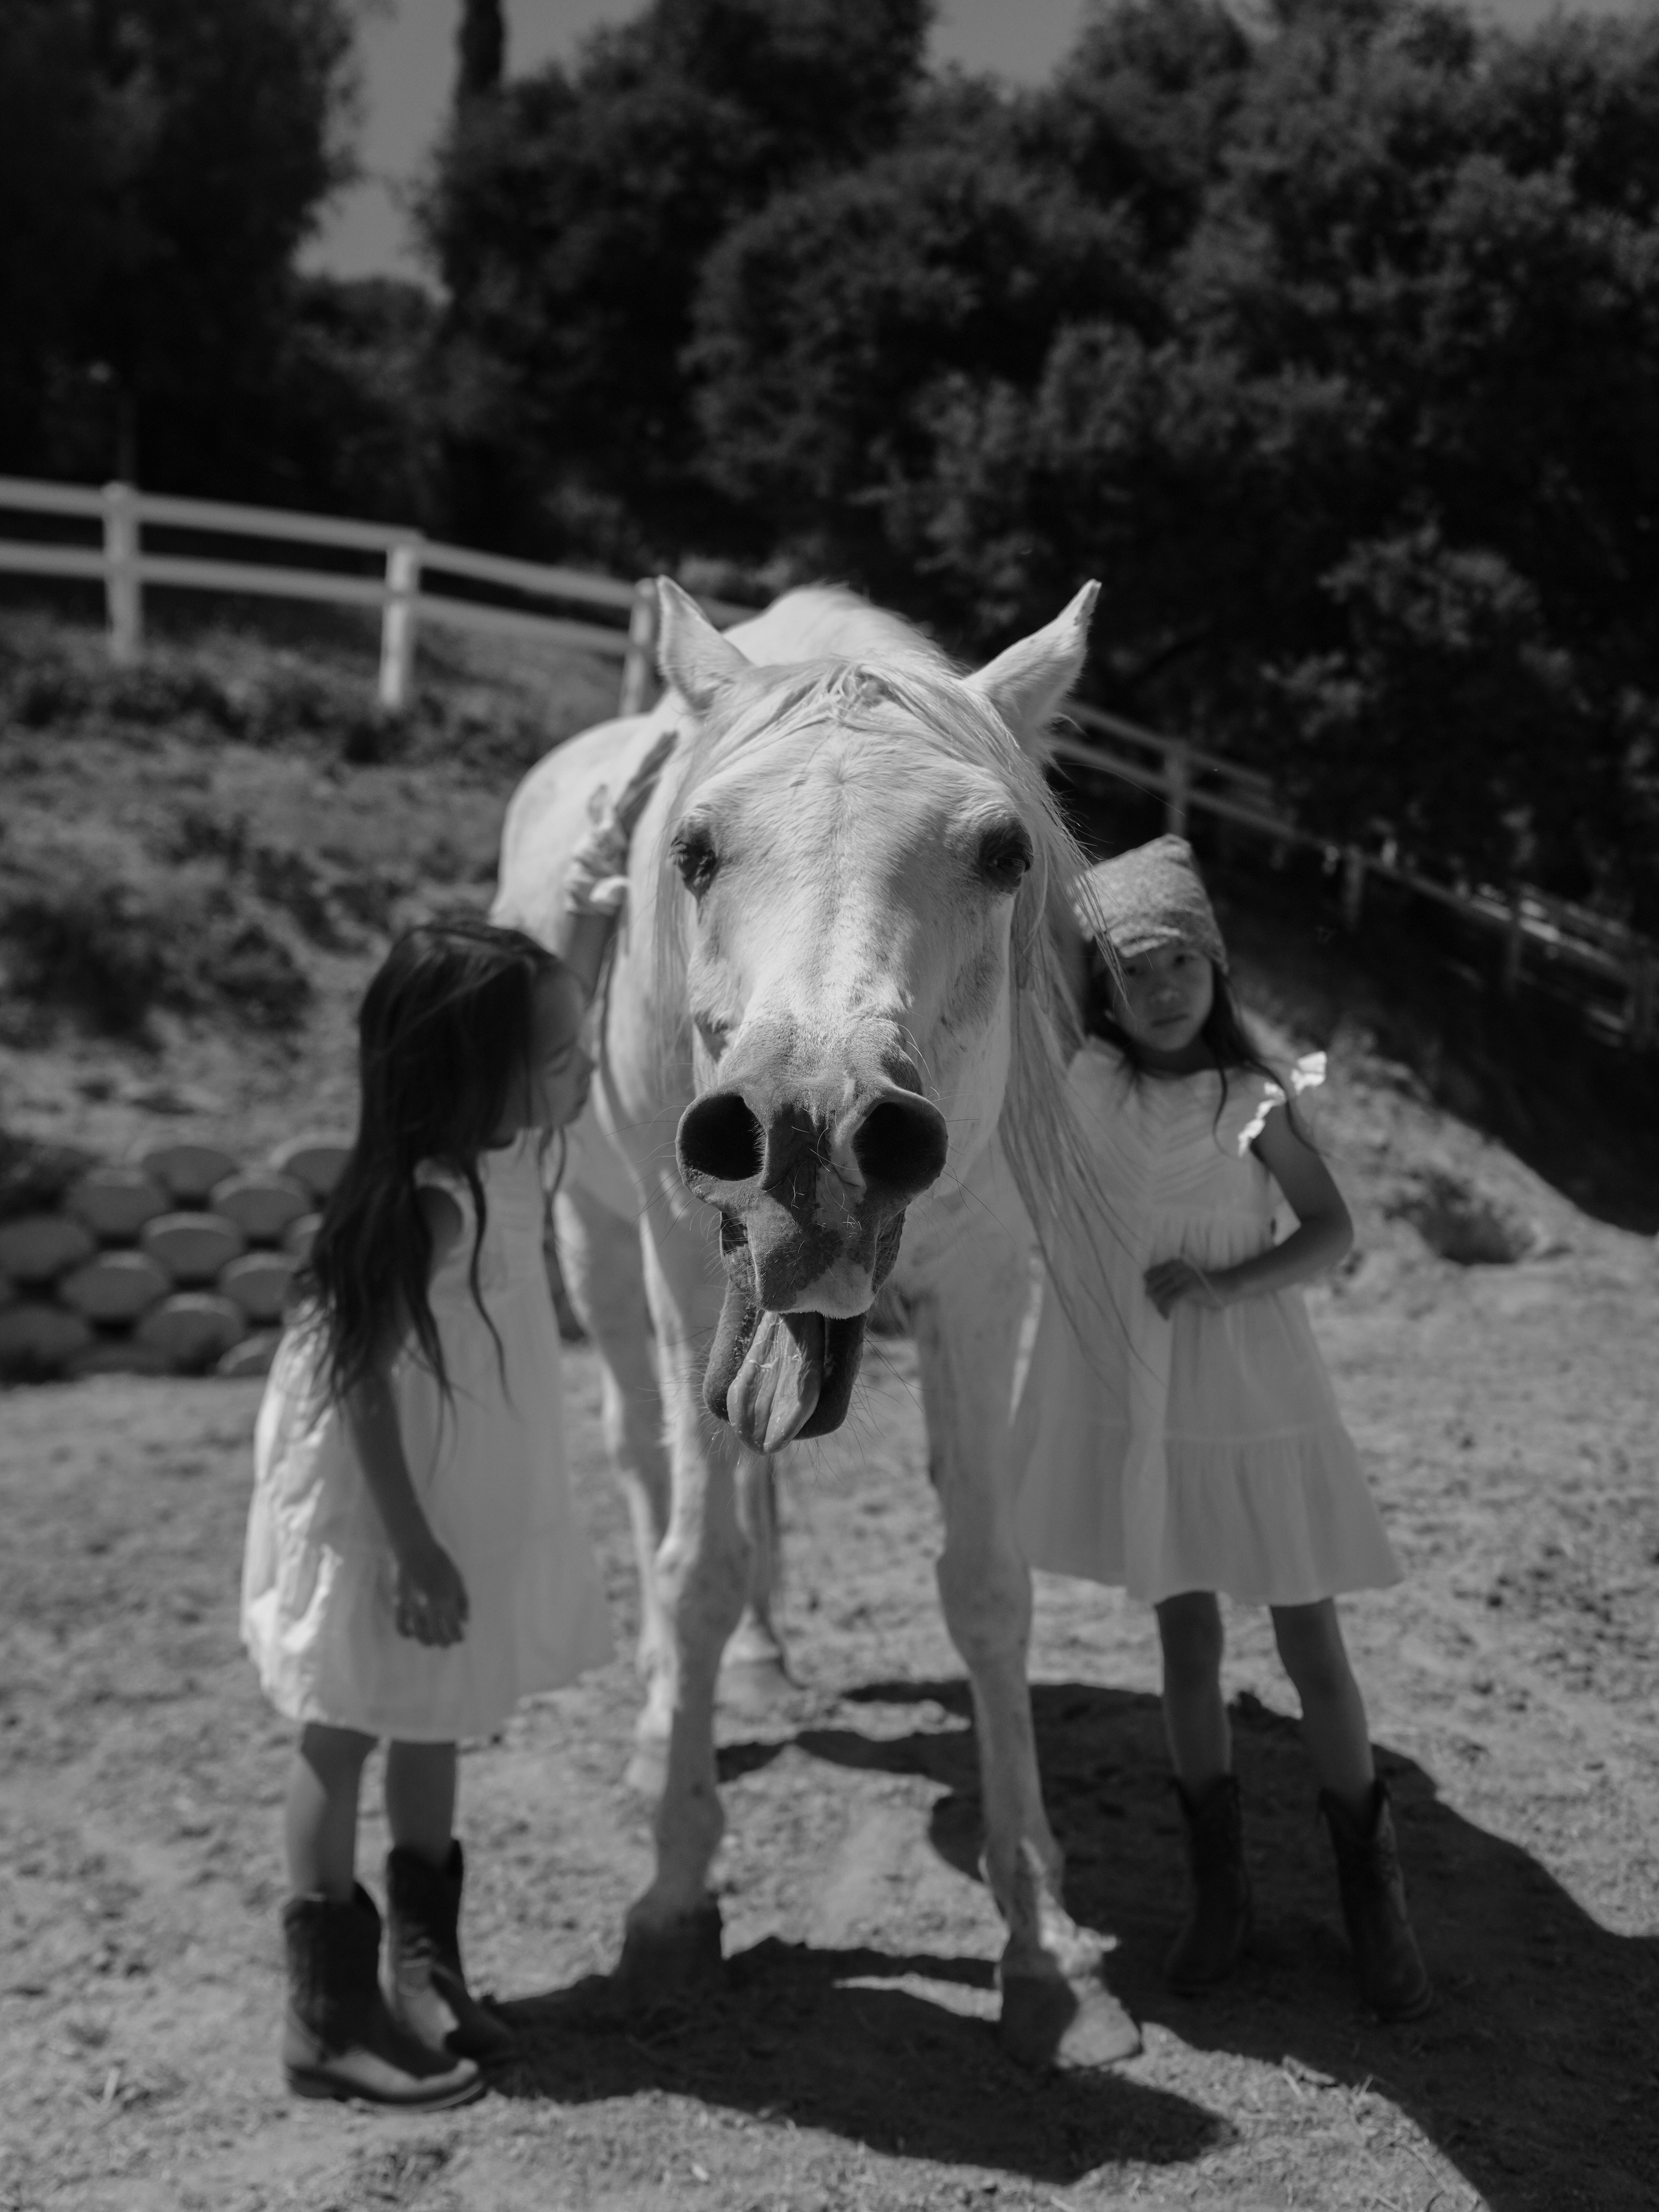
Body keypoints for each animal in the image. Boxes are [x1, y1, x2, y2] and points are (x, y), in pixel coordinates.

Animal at [492, 579, 1138, 2067]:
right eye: (693, 848)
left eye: (1003, 850)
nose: (810, 1123)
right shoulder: (684, 1263)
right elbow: (696, 1563)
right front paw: (674, 1898)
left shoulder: (984, 1279)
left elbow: (988, 1583)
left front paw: (1047, 1947)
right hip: (600, 1245)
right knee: (645, 1464)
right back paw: (665, 1716)